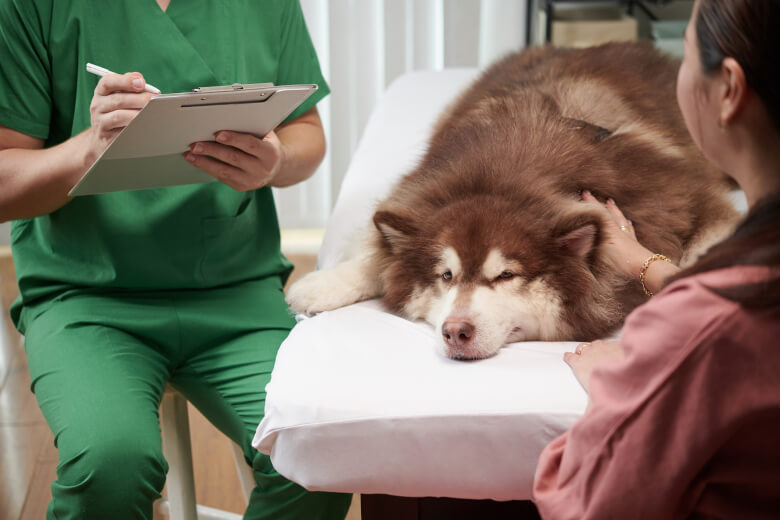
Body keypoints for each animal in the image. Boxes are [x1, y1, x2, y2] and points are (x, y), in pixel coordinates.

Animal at [284, 42, 736, 360]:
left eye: (505, 276)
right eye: (445, 276)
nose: (456, 331)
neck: (506, 182)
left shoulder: (687, 202)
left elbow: (697, 257)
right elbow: (376, 255)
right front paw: (322, 284)